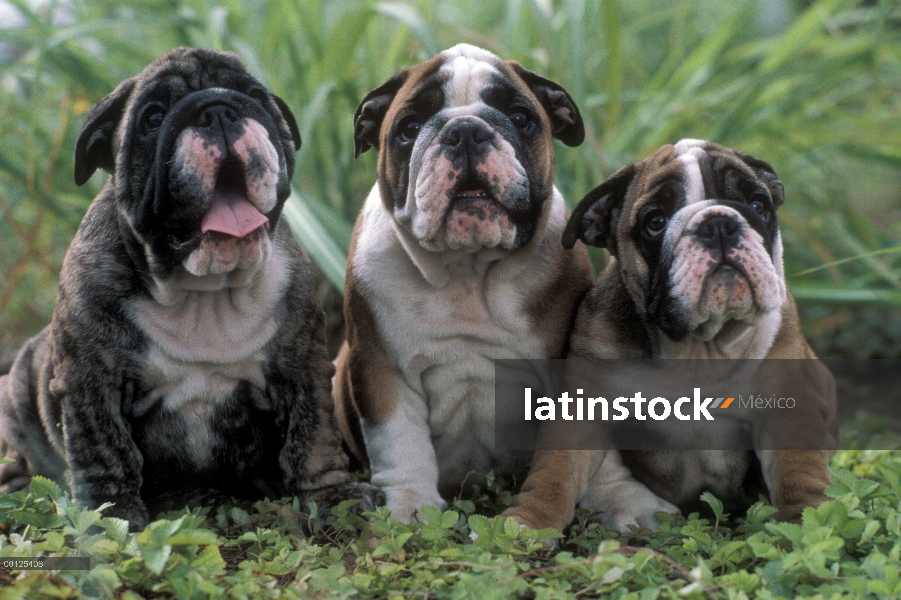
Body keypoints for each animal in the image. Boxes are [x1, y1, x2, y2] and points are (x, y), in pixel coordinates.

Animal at [334, 44, 596, 524]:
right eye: (409, 128)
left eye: (521, 117)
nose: (466, 131)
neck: (468, 270)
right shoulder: (382, 370)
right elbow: (400, 444)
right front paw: (409, 509)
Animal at [512, 142, 836, 536]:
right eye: (655, 222)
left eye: (759, 205)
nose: (718, 223)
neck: (698, 348)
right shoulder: (580, 409)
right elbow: (554, 474)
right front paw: (529, 523)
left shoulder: (790, 407)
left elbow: (798, 473)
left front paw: (807, 522)